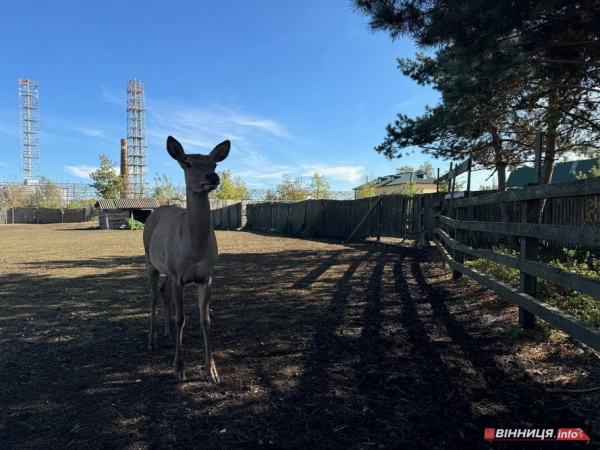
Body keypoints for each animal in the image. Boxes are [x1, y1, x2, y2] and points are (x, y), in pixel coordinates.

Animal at [143, 135, 230, 382]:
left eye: (214, 164)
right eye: (187, 163)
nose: (212, 177)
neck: (194, 249)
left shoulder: (206, 276)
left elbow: (205, 319)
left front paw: (212, 371)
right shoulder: (178, 275)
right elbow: (182, 318)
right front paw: (179, 368)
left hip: (167, 268)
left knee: (163, 292)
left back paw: (168, 334)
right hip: (150, 259)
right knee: (152, 295)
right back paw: (152, 340)